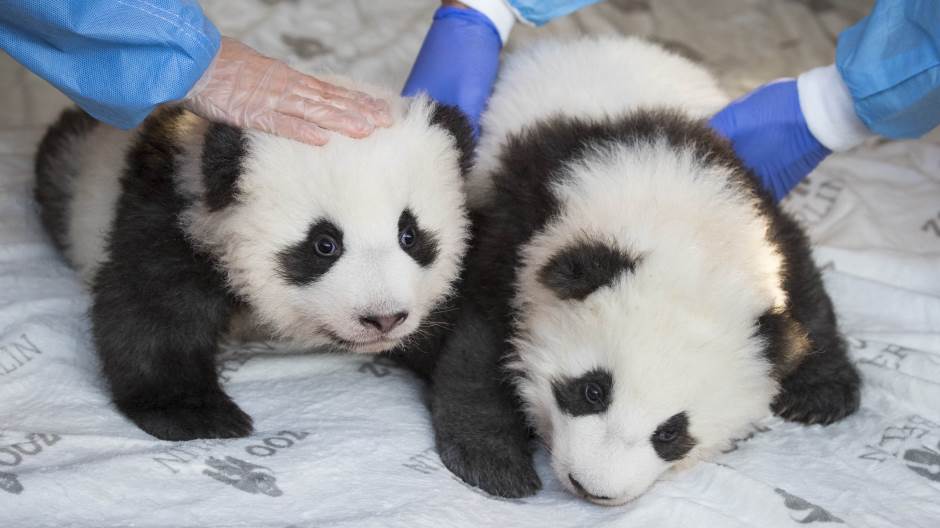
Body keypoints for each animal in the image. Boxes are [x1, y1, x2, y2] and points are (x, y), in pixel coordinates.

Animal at [34, 84, 474, 441]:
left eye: (409, 236)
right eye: (324, 245)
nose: (383, 319)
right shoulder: (172, 211)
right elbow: (150, 306)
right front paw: (196, 415)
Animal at [427, 37, 861, 504]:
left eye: (671, 432)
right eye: (592, 391)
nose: (592, 487)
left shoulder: (759, 218)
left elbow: (802, 287)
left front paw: (822, 390)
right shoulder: (526, 218)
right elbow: (480, 334)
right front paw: (492, 459)